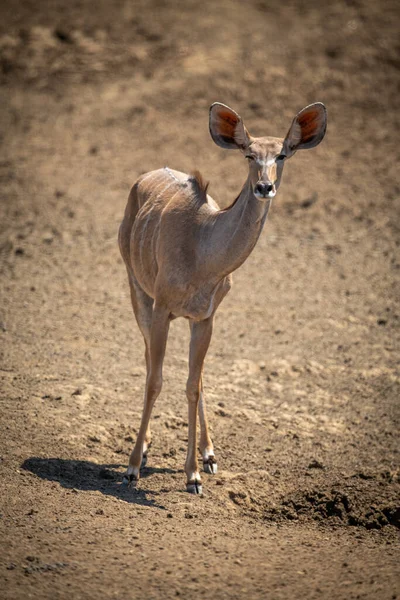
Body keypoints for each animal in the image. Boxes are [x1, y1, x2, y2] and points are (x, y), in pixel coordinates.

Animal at [118, 101, 324, 492]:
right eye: (248, 154)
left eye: (283, 153)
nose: (264, 186)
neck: (202, 245)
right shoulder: (161, 307)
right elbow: (156, 380)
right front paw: (134, 466)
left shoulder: (205, 317)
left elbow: (193, 384)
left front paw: (195, 473)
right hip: (137, 290)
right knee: (149, 360)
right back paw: (146, 448)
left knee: (192, 376)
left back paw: (209, 454)